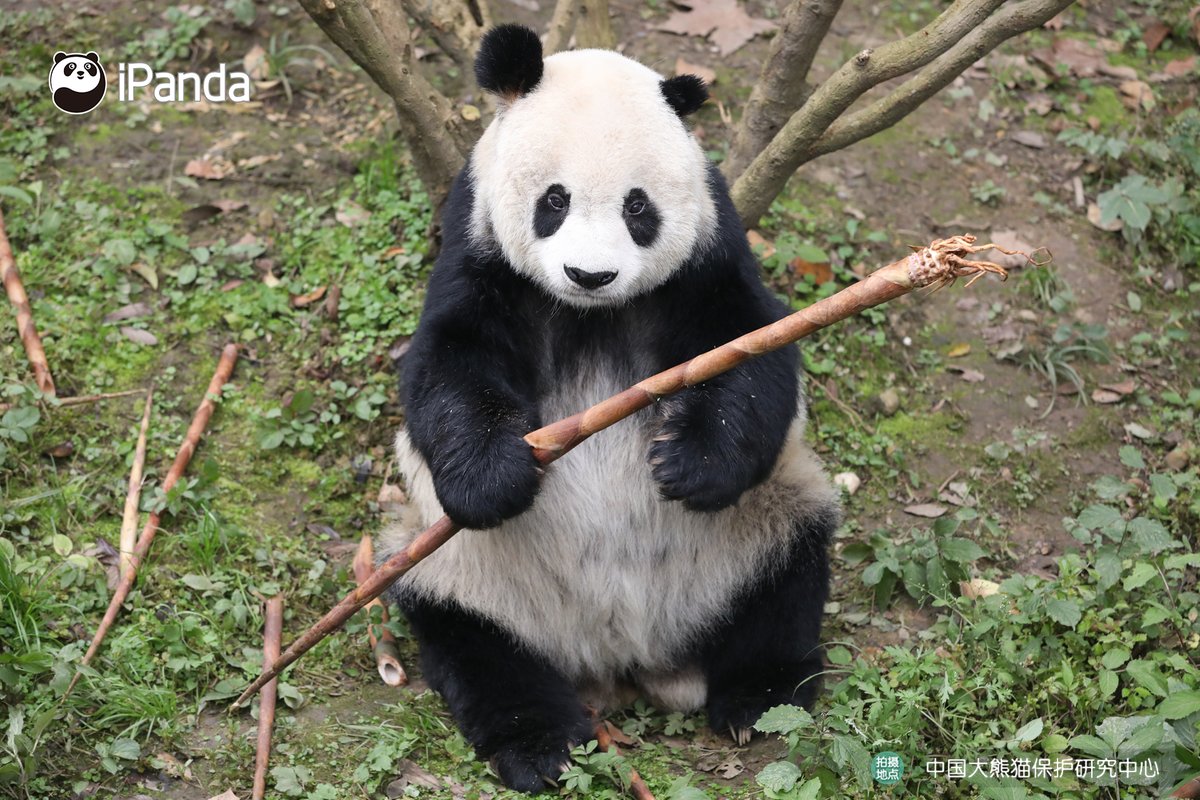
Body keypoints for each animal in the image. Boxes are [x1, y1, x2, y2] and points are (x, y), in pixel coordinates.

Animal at [379, 24, 841, 793]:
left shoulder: (707, 258)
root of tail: (624, 656)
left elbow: (749, 345)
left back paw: (760, 695)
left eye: (638, 207)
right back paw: (540, 743)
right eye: (554, 200)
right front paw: (497, 479)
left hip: (751, 534)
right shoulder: (477, 252)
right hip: (472, 574)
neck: (588, 315)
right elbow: (448, 365)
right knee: (472, 639)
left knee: (786, 576)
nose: (589, 274)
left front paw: (690, 464)